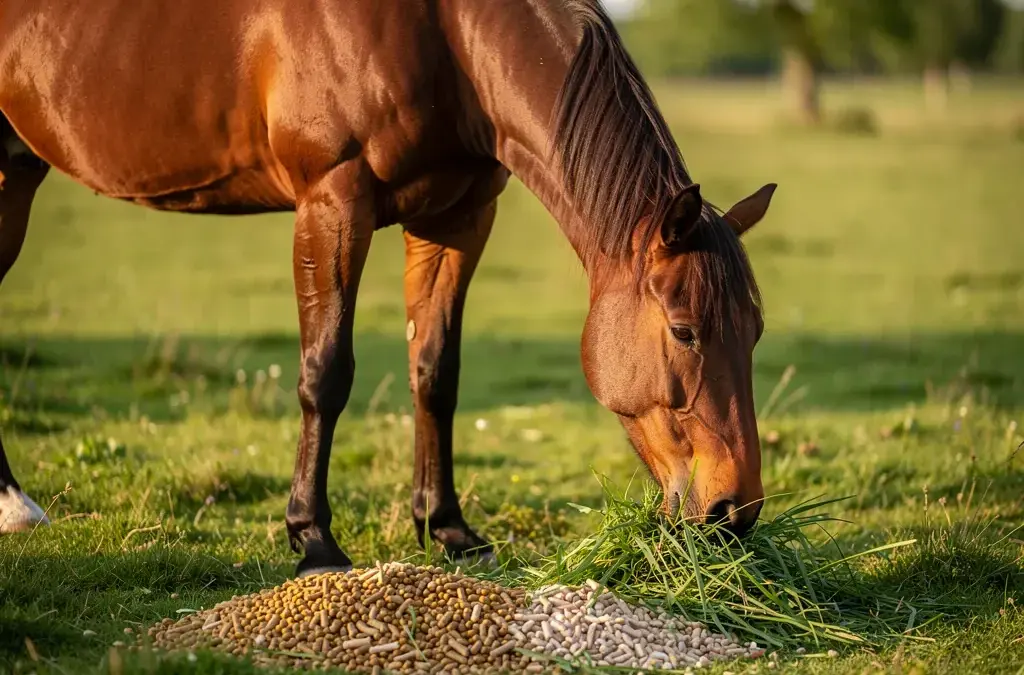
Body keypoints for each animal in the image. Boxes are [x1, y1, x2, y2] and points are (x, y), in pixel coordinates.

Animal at [0, 0, 776, 575]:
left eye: (755, 332)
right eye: (684, 330)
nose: (733, 512)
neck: (446, 33)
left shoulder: (456, 218)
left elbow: (435, 371)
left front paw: (448, 526)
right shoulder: (333, 202)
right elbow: (325, 373)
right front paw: (313, 539)